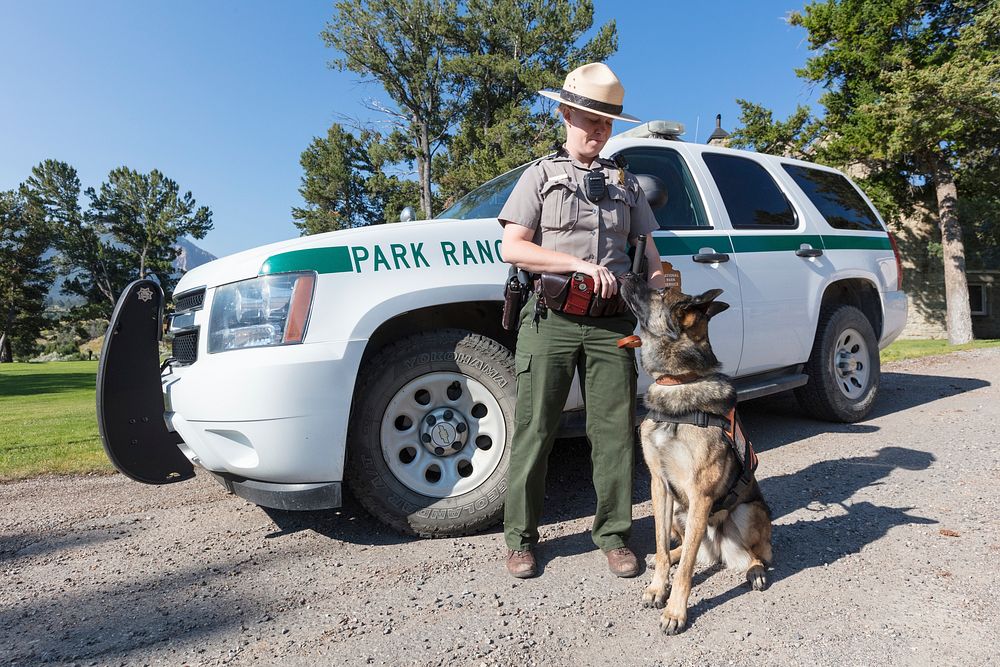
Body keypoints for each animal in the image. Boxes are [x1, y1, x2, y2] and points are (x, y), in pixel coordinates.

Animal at [616, 276, 772, 636]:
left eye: (660, 290)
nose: (627, 275)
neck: (678, 382)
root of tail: (716, 548)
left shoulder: (700, 494)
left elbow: (687, 570)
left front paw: (675, 612)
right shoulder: (659, 486)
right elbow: (661, 547)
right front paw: (658, 588)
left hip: (746, 512)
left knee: (753, 554)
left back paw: (755, 571)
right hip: (678, 513)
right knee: (683, 546)